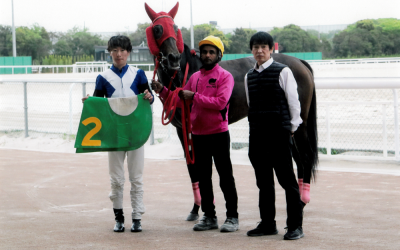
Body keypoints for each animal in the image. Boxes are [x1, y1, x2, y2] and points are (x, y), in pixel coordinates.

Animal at [145, 1, 318, 217]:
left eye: (175, 28)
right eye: (157, 29)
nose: (173, 58)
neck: (187, 74)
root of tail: (300, 62)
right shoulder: (181, 129)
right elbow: (191, 167)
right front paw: (196, 208)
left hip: (299, 123)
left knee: (305, 157)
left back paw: (302, 201)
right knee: (298, 159)